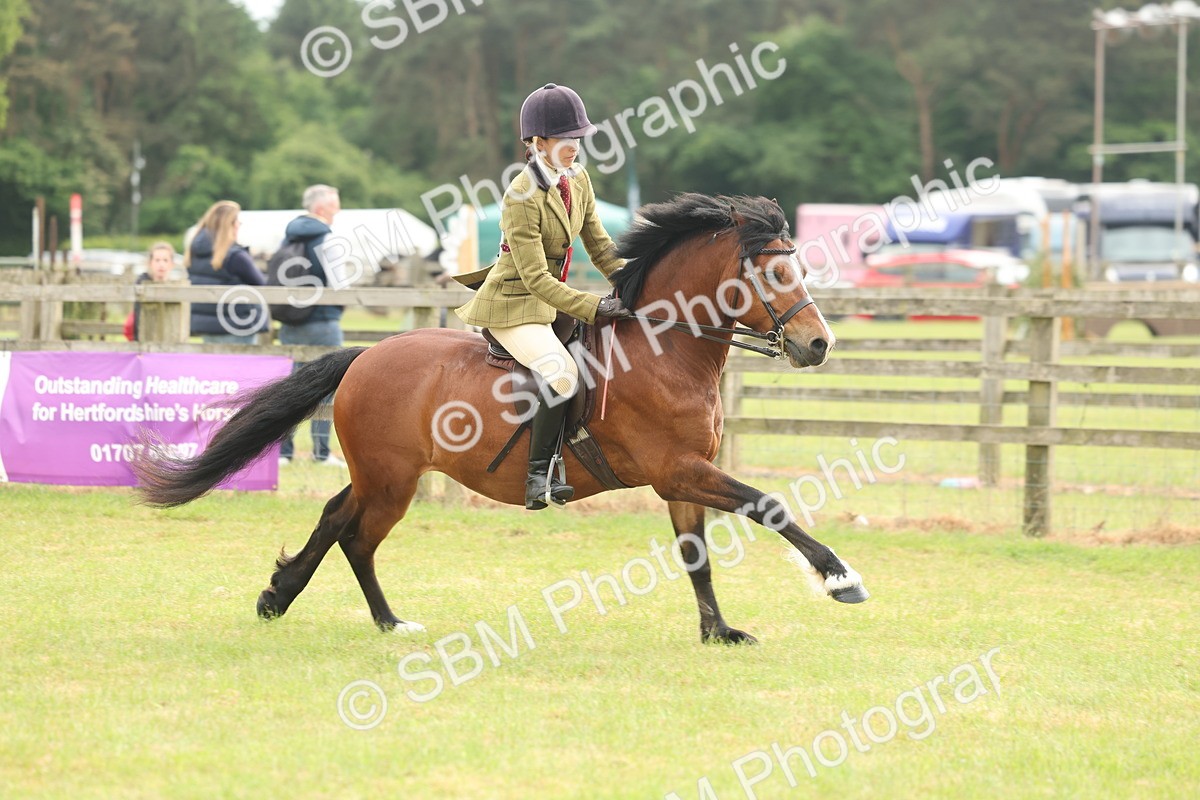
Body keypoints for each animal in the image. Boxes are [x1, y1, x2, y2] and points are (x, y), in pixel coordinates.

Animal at [134, 193, 869, 644]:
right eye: (771, 274)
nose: (818, 345)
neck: (666, 349)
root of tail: (367, 355)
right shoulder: (678, 469)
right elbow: (769, 505)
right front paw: (840, 579)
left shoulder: (684, 477)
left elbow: (698, 558)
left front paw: (718, 632)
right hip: (391, 480)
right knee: (357, 537)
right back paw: (366, 615)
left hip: (382, 473)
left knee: (337, 521)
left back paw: (294, 598)